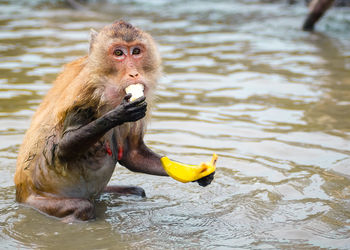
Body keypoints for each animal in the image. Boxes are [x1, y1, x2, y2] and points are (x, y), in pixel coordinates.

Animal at [15, 20, 215, 222]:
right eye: (118, 53)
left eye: (136, 51)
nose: (134, 74)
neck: (107, 85)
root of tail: (20, 195)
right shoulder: (84, 94)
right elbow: (62, 148)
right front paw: (117, 115)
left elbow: (132, 154)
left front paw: (202, 175)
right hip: (38, 202)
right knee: (82, 208)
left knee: (137, 191)